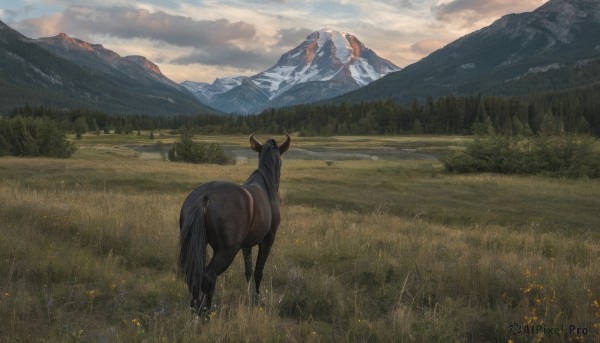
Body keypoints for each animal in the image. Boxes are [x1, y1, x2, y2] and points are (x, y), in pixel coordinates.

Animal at [177, 133, 290, 316]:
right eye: (280, 161)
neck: (265, 186)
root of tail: (205, 198)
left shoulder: (247, 245)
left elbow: (248, 271)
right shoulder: (268, 240)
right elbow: (258, 271)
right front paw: (257, 300)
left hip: (197, 245)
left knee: (194, 275)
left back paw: (195, 309)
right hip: (227, 251)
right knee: (208, 276)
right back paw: (205, 313)